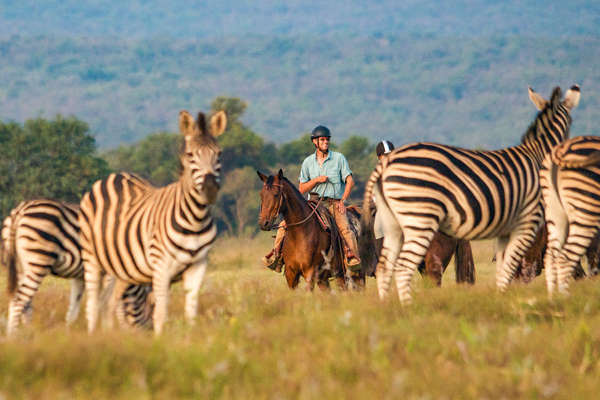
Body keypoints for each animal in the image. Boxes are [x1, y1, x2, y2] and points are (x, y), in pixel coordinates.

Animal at [1, 199, 155, 334]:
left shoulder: (79, 277)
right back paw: (13, 337)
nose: (148, 335)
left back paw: (28, 333)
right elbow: (114, 305)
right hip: (38, 262)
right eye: (152, 306)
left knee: (26, 304)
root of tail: (20, 210)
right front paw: (113, 332)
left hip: (21, 266)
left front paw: (69, 335)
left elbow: (73, 311)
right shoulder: (110, 274)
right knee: (18, 300)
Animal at [79, 109, 227, 334]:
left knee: (109, 304)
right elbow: (161, 313)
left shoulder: (198, 266)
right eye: (190, 155)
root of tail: (113, 176)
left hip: (122, 269)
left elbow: (191, 311)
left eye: (218, 154)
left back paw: (111, 336)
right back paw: (93, 336)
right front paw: (160, 341)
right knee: (93, 304)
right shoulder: (161, 267)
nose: (210, 189)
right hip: (92, 259)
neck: (195, 219)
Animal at [540, 136, 600, 296]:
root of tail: (560, 150)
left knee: (551, 257)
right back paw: (566, 298)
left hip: (555, 212)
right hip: (586, 209)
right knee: (565, 258)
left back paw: (553, 297)